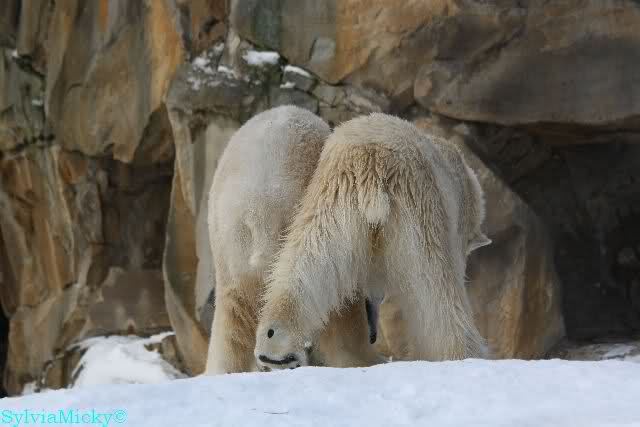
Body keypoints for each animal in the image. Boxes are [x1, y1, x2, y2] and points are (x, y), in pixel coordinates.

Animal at [254, 113, 491, 370]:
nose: (374, 334)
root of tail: (371, 158)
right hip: (417, 202)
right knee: (435, 288)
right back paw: (464, 355)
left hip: (334, 192)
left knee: (311, 254)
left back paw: (275, 347)